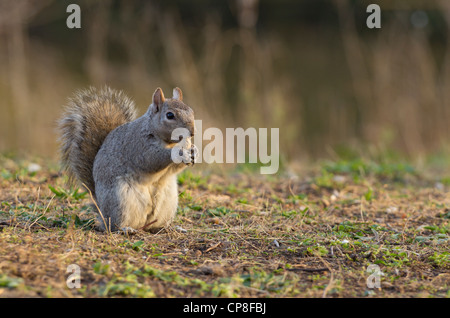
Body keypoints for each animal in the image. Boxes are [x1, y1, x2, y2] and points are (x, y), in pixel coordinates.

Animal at [58, 85, 197, 232]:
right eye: (170, 115)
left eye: (191, 111)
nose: (192, 132)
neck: (168, 142)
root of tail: (103, 215)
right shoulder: (138, 146)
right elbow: (152, 159)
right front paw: (179, 153)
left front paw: (194, 151)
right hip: (121, 201)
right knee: (116, 225)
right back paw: (126, 229)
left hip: (168, 202)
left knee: (154, 225)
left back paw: (167, 228)